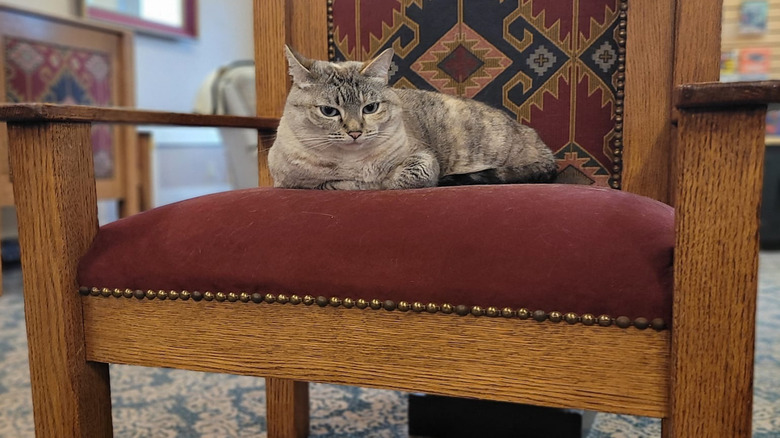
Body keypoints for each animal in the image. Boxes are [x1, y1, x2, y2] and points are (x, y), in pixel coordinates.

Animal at [272, 46, 556, 190]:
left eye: (370, 108)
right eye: (329, 111)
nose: (355, 132)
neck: (352, 163)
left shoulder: (423, 159)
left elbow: (396, 179)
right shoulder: (286, 181)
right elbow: (327, 184)